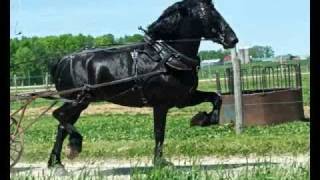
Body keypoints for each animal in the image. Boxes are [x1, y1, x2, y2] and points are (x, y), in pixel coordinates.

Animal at [47, 0, 238, 170]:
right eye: (208, 13)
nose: (232, 39)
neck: (168, 58)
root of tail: (63, 60)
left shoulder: (185, 98)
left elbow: (216, 97)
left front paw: (203, 119)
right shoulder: (161, 105)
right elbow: (159, 132)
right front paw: (160, 162)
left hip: (80, 103)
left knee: (61, 126)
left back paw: (56, 163)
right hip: (77, 101)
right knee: (59, 115)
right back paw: (74, 145)